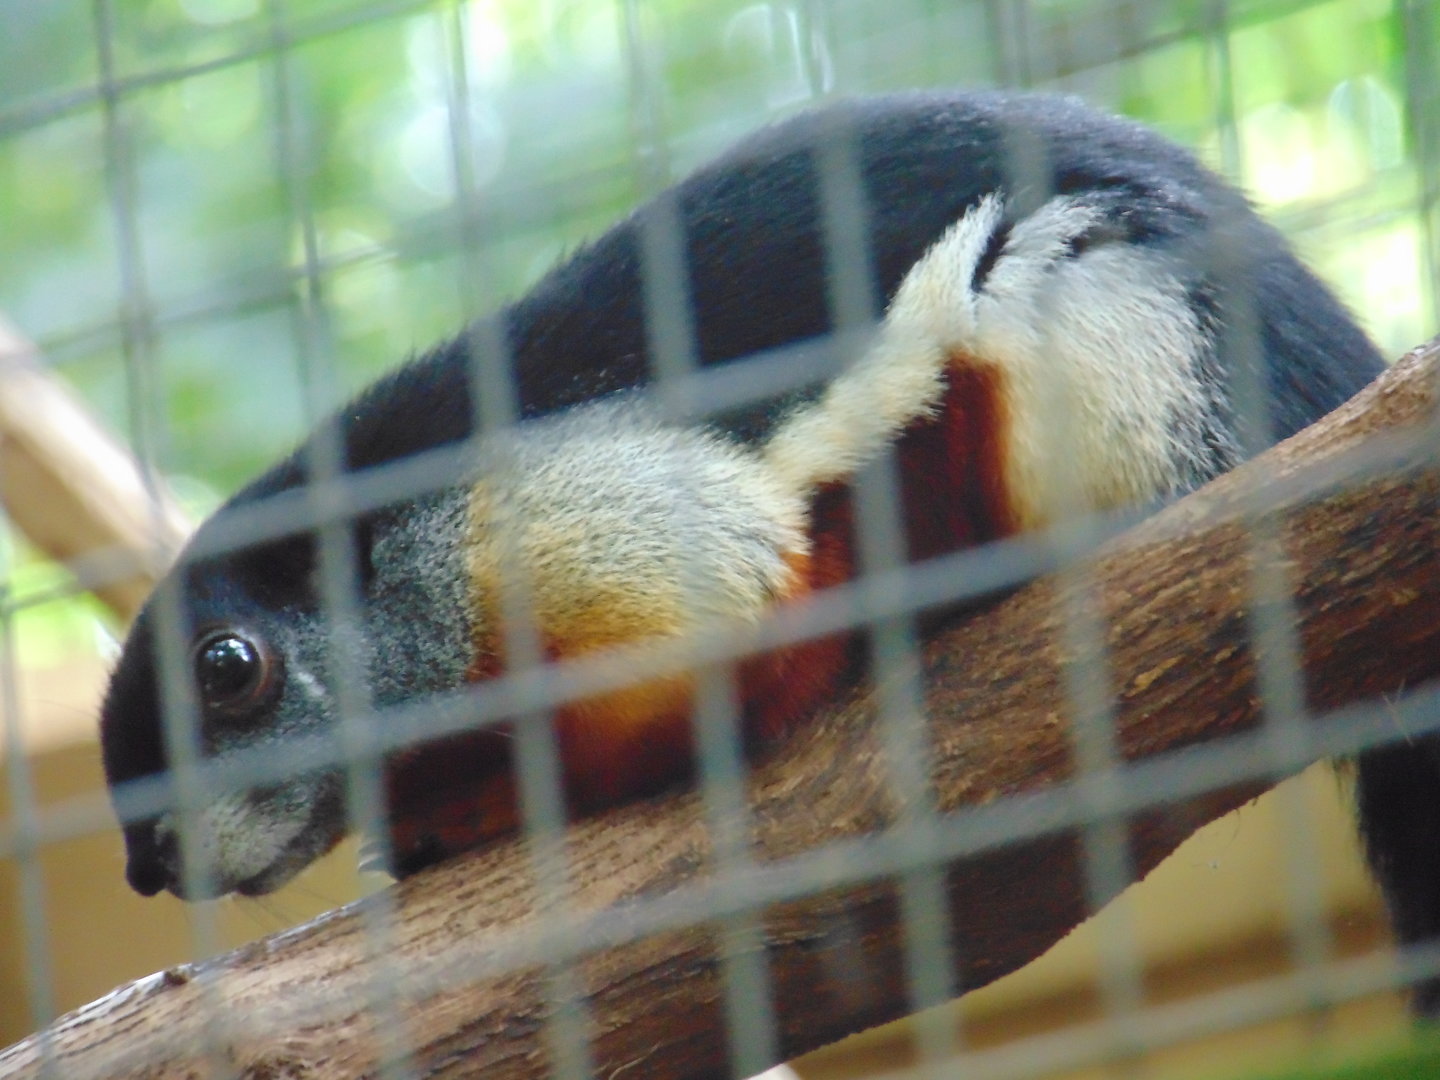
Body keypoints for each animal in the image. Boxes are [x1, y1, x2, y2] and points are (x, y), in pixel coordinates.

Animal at [99, 88, 1425, 1008]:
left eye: (229, 669)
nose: (149, 866)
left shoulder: (599, 525)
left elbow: (734, 641)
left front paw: (494, 805)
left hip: (1106, 326)